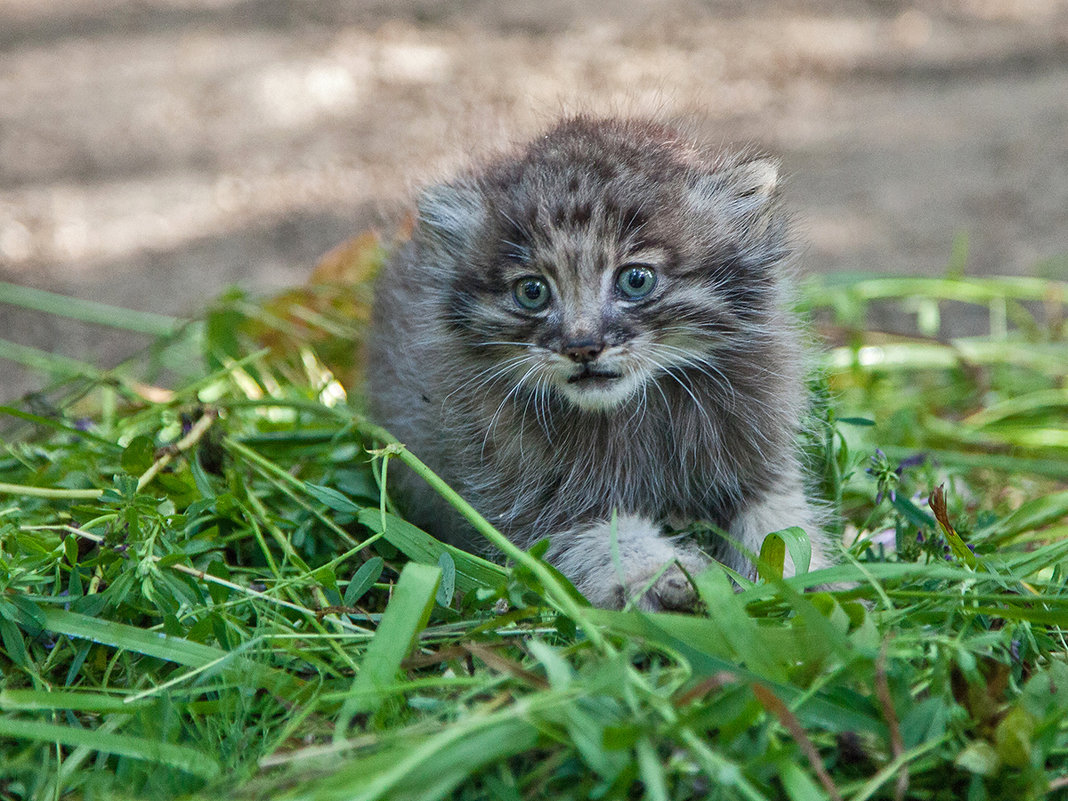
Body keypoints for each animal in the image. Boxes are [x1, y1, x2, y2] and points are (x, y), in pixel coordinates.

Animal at [369, 115, 833, 610]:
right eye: (532, 291)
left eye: (636, 280)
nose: (582, 346)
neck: (638, 411)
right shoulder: (533, 507)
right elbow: (606, 541)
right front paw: (664, 576)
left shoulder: (762, 462)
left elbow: (783, 528)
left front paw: (809, 586)